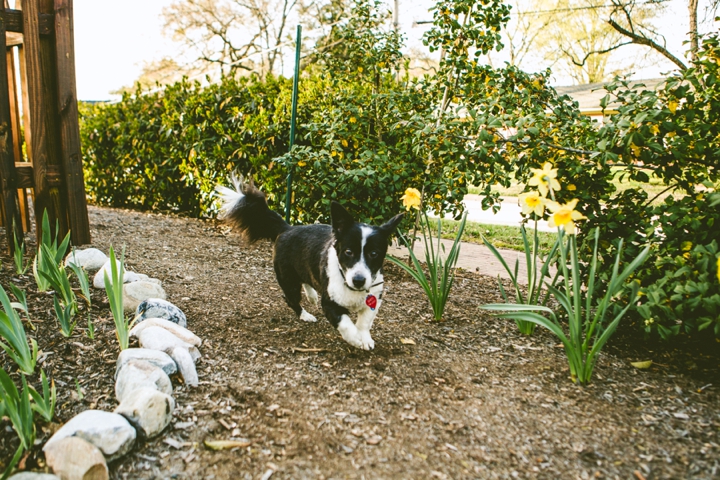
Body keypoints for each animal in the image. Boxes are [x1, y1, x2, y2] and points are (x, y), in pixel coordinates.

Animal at [214, 175, 404, 348]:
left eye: (374, 253)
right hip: (288, 280)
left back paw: (311, 295)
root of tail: (287, 228)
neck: (352, 288)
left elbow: (365, 321)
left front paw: (365, 338)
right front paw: (356, 339)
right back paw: (305, 315)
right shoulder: (329, 304)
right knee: (291, 299)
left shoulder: (374, 298)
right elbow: (345, 323)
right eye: (348, 252)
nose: (359, 280)